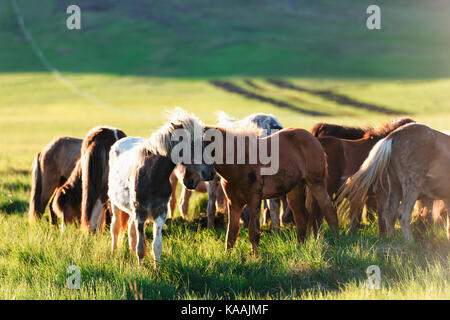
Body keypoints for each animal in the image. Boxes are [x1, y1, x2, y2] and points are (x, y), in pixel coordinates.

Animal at [108, 110, 215, 268]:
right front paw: (140, 269)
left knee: (130, 229)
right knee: (115, 229)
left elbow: (156, 245)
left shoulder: (160, 211)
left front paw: (156, 268)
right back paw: (114, 253)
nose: (211, 173)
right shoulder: (140, 212)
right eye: (191, 145)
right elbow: (141, 247)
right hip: (116, 205)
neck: (151, 176)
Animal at [204, 124, 338, 256]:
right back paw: (299, 248)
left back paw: (336, 242)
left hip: (316, 183)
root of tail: (314, 139)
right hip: (295, 190)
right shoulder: (234, 203)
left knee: (329, 210)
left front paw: (255, 258)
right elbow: (231, 233)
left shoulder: (254, 200)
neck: (238, 163)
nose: (207, 175)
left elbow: (253, 232)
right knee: (302, 217)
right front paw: (227, 257)